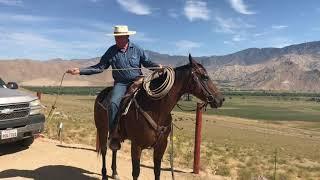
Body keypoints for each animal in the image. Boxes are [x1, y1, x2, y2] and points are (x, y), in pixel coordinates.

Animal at [93, 54, 222, 180]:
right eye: (204, 77)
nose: (220, 99)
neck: (156, 109)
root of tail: (101, 94)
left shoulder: (161, 146)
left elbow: (157, 171)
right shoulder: (136, 146)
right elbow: (136, 172)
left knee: (114, 148)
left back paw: (114, 172)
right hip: (102, 128)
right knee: (104, 150)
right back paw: (104, 174)